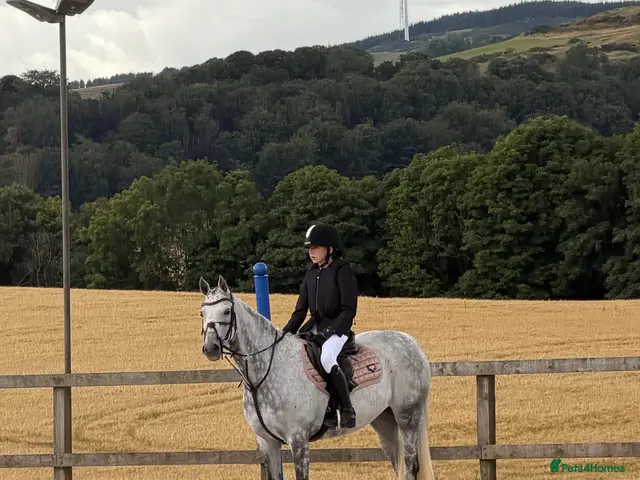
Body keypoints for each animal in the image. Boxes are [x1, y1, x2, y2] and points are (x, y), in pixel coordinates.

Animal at [198, 275, 435, 480]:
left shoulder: (298, 440)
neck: (265, 372)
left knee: (411, 466)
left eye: (227, 311)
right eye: (202, 313)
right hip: (385, 421)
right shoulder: (267, 442)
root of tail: (411, 342)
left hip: (407, 417)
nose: (210, 349)